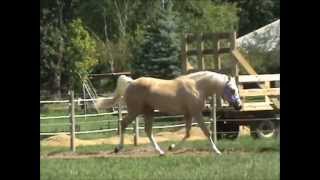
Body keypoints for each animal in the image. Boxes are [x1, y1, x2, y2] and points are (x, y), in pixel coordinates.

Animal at [96, 71, 241, 155]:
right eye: (233, 90)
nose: (239, 106)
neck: (197, 87)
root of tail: (131, 82)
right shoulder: (196, 113)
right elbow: (207, 132)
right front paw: (217, 151)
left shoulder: (189, 114)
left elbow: (187, 134)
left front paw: (171, 147)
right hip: (134, 111)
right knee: (123, 124)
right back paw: (118, 148)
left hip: (148, 112)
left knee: (148, 131)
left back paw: (160, 151)